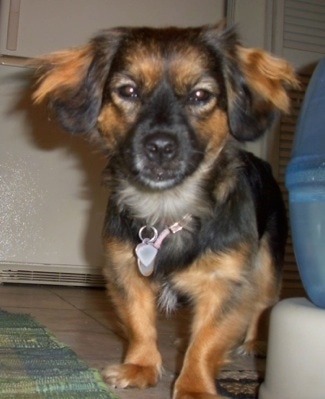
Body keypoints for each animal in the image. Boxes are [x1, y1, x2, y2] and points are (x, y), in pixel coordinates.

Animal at [31, 23, 298, 398]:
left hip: (267, 266)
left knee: (262, 306)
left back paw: (256, 343)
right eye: (128, 91)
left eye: (200, 96)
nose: (160, 146)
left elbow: (208, 341)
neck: (167, 206)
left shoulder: (226, 281)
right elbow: (139, 322)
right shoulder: (125, 269)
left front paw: (195, 385)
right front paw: (141, 366)